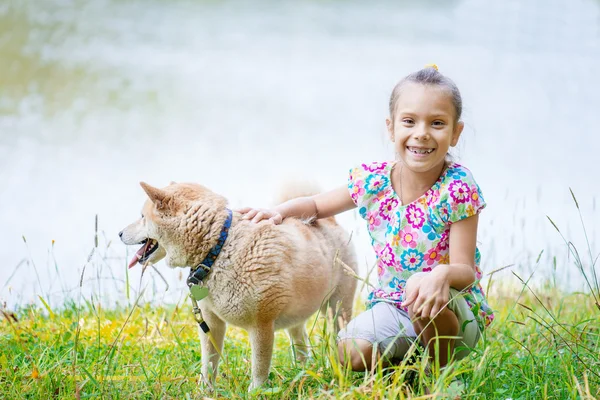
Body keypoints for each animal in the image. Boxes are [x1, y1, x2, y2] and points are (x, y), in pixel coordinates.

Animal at [119, 183, 358, 390]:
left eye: (142, 217)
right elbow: (209, 363)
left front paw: (256, 391)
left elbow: (259, 367)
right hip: (297, 316)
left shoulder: (261, 325)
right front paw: (205, 390)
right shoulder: (211, 323)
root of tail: (329, 221)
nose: (119, 233)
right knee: (301, 343)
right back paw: (302, 371)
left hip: (337, 310)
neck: (219, 247)